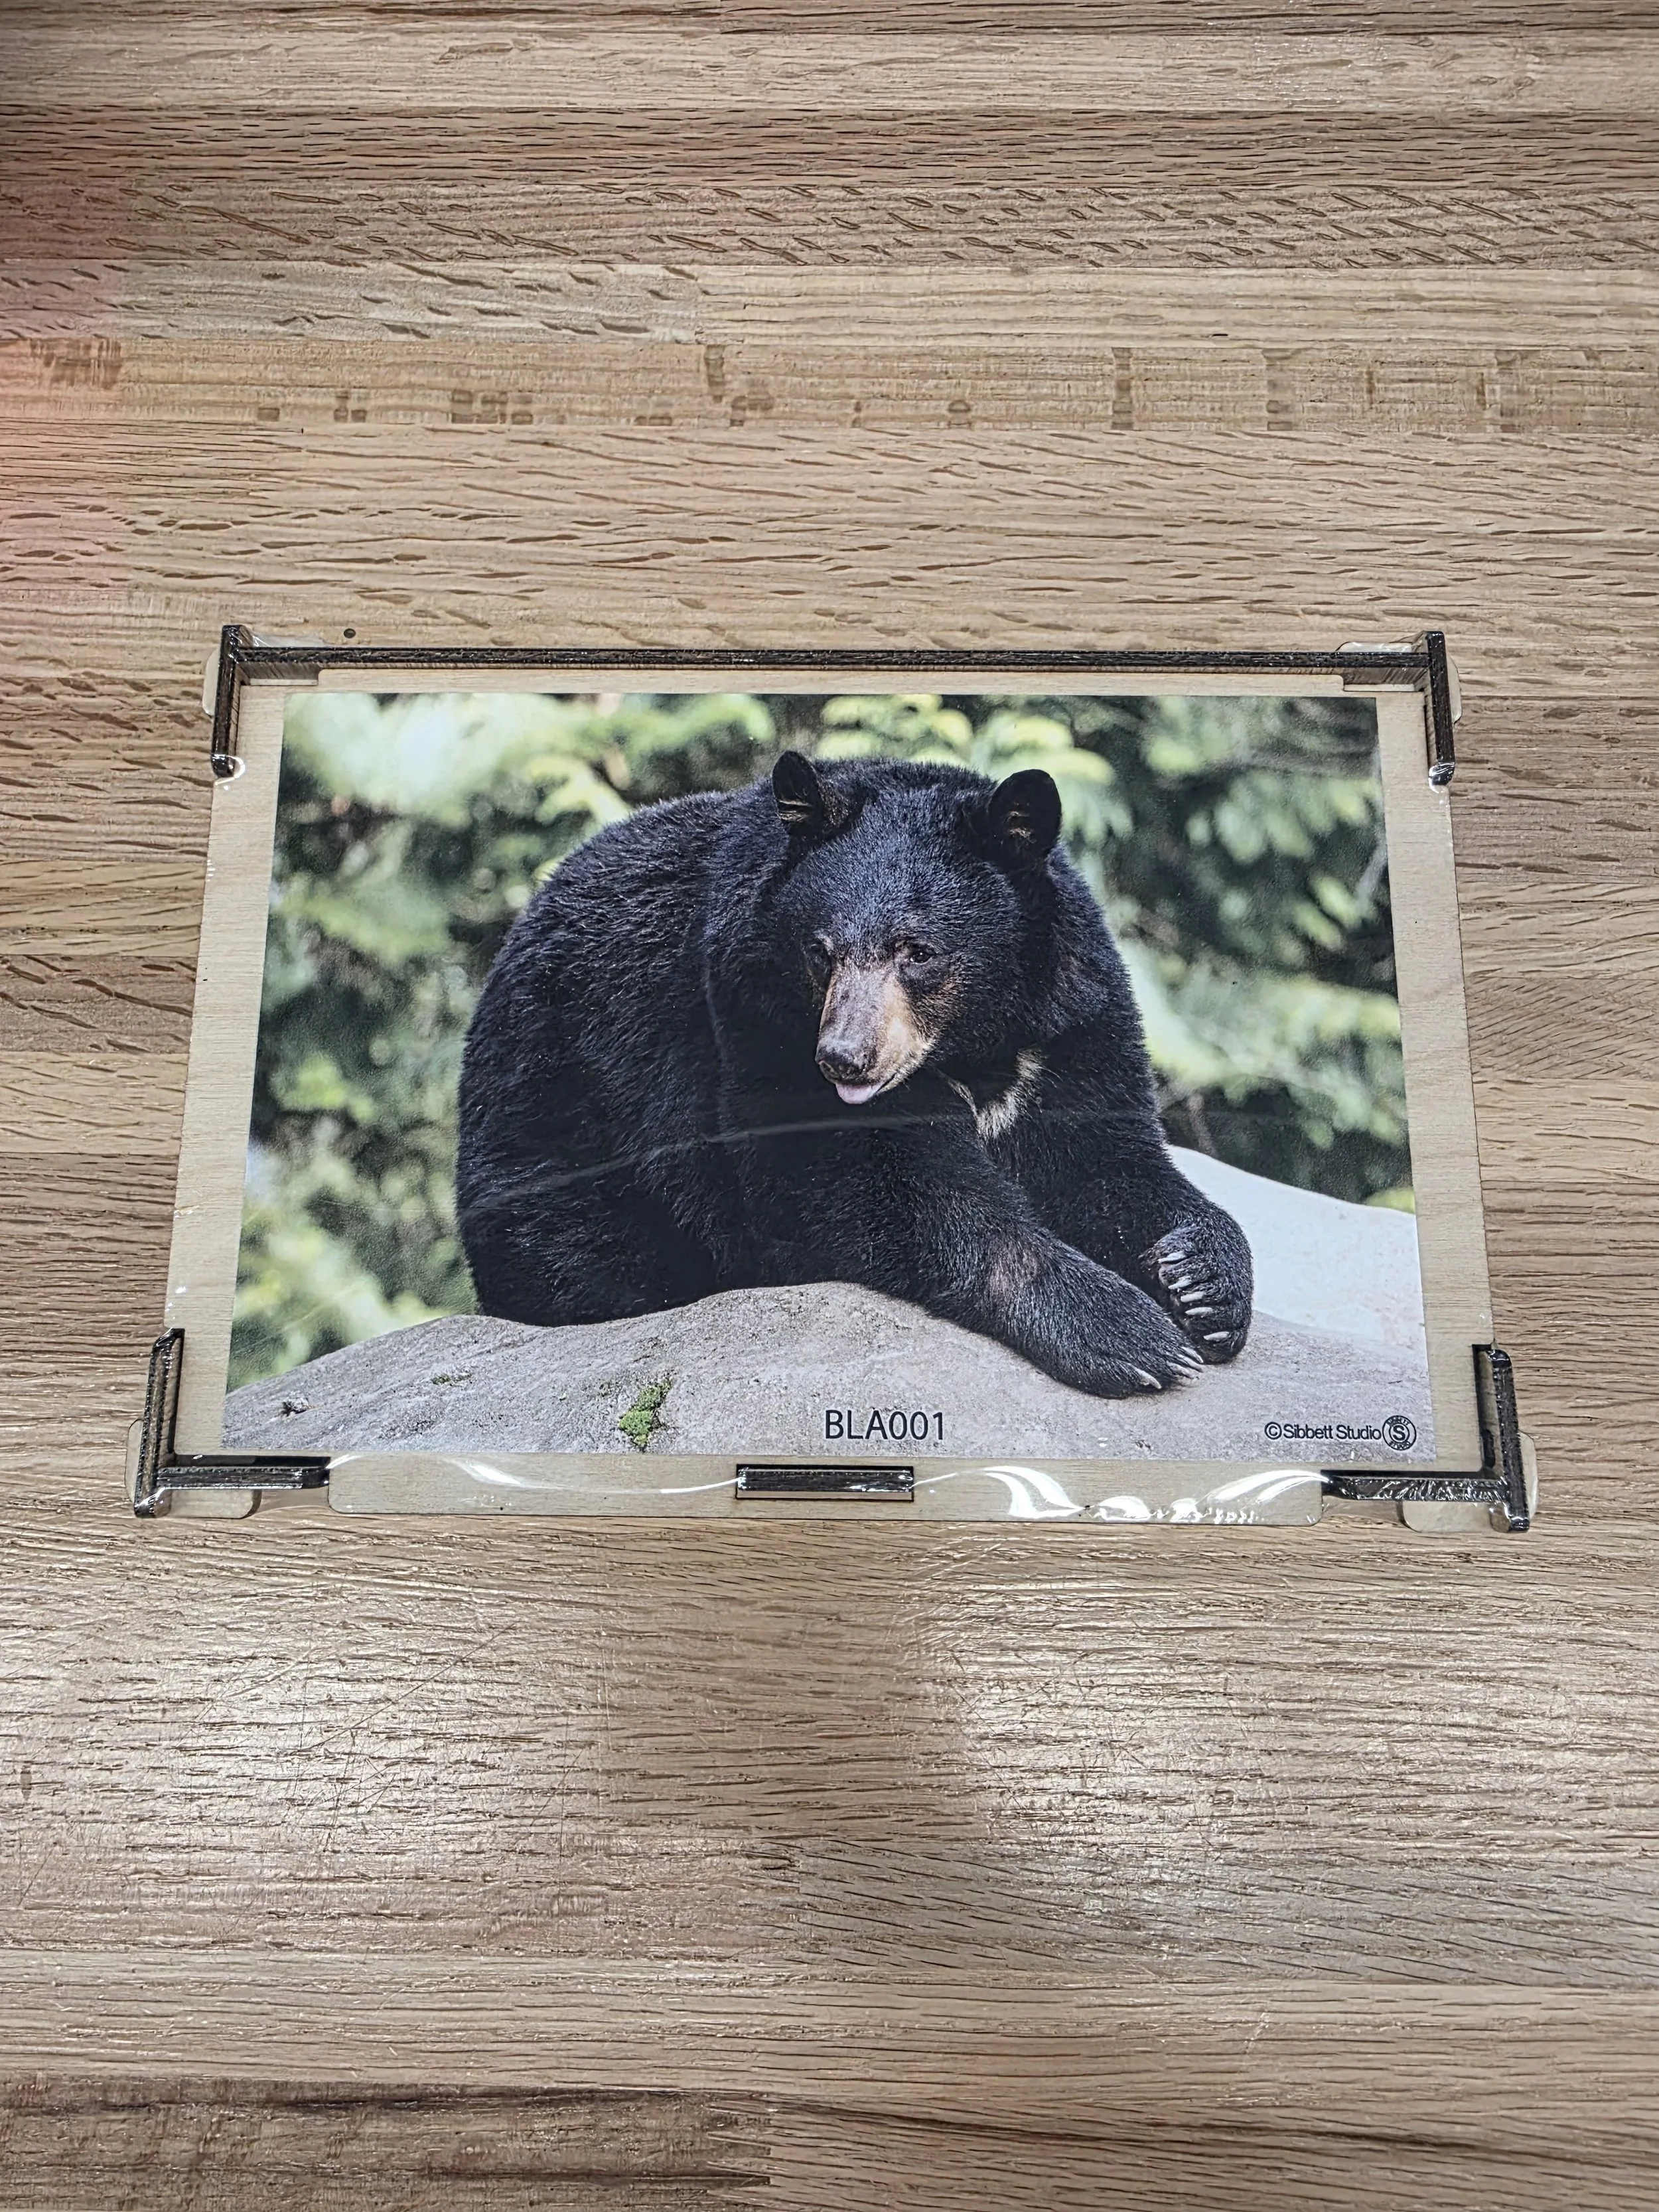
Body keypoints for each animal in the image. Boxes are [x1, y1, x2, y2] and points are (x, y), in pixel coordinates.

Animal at [456, 750, 1253, 1399]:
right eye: (820, 949)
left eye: (917, 950)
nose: (843, 1057)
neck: (973, 1047)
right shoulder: (749, 1014)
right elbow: (854, 1178)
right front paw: (1126, 1332)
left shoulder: (1068, 1022)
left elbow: (1105, 1158)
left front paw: (1202, 1283)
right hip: (557, 1144)